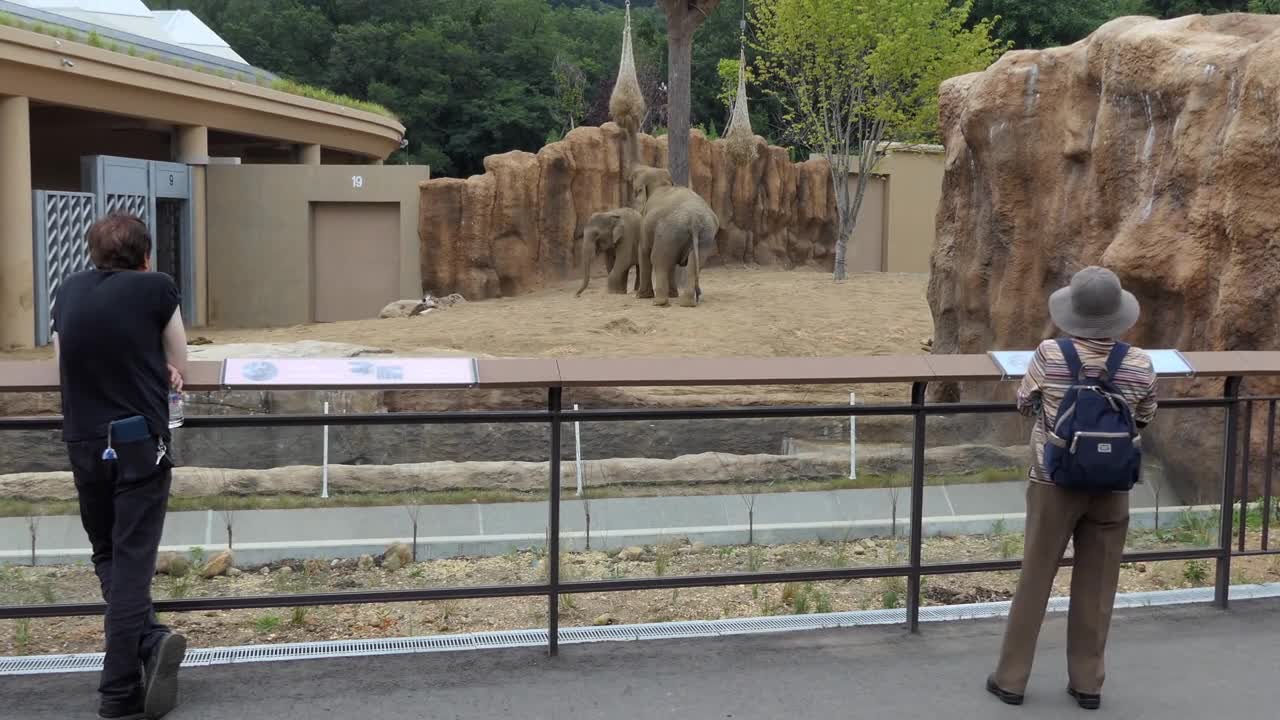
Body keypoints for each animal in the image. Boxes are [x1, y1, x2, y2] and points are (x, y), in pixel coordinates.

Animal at [629, 166, 721, 304]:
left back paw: (660, 302)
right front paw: (673, 295)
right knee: (694, 263)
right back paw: (687, 303)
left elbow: (644, 250)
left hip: (669, 230)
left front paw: (641, 296)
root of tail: (693, 219)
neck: (662, 184)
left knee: (658, 259)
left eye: (635, 189)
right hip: (705, 234)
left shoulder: (645, 224)